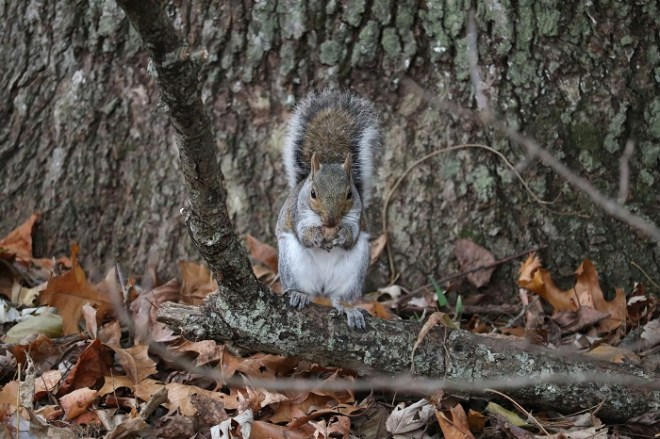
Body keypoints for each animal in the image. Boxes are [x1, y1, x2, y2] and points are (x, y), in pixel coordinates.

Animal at [276, 90, 382, 330]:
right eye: (313, 193)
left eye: (350, 194)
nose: (332, 221)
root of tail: (322, 288)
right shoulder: (299, 216)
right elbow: (304, 235)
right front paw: (316, 237)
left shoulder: (356, 218)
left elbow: (351, 235)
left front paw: (341, 236)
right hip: (292, 264)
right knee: (304, 288)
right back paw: (299, 294)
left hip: (352, 274)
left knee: (338, 298)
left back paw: (349, 309)